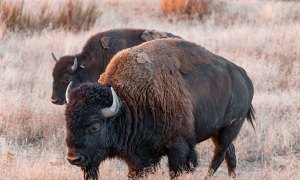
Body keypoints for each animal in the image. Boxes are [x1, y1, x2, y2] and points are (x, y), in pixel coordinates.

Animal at [64, 38, 254, 180]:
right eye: (68, 123)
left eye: (94, 126)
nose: (73, 158)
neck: (128, 102)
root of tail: (243, 75)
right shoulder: (137, 159)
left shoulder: (179, 147)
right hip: (218, 131)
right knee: (230, 154)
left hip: (230, 128)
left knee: (219, 155)